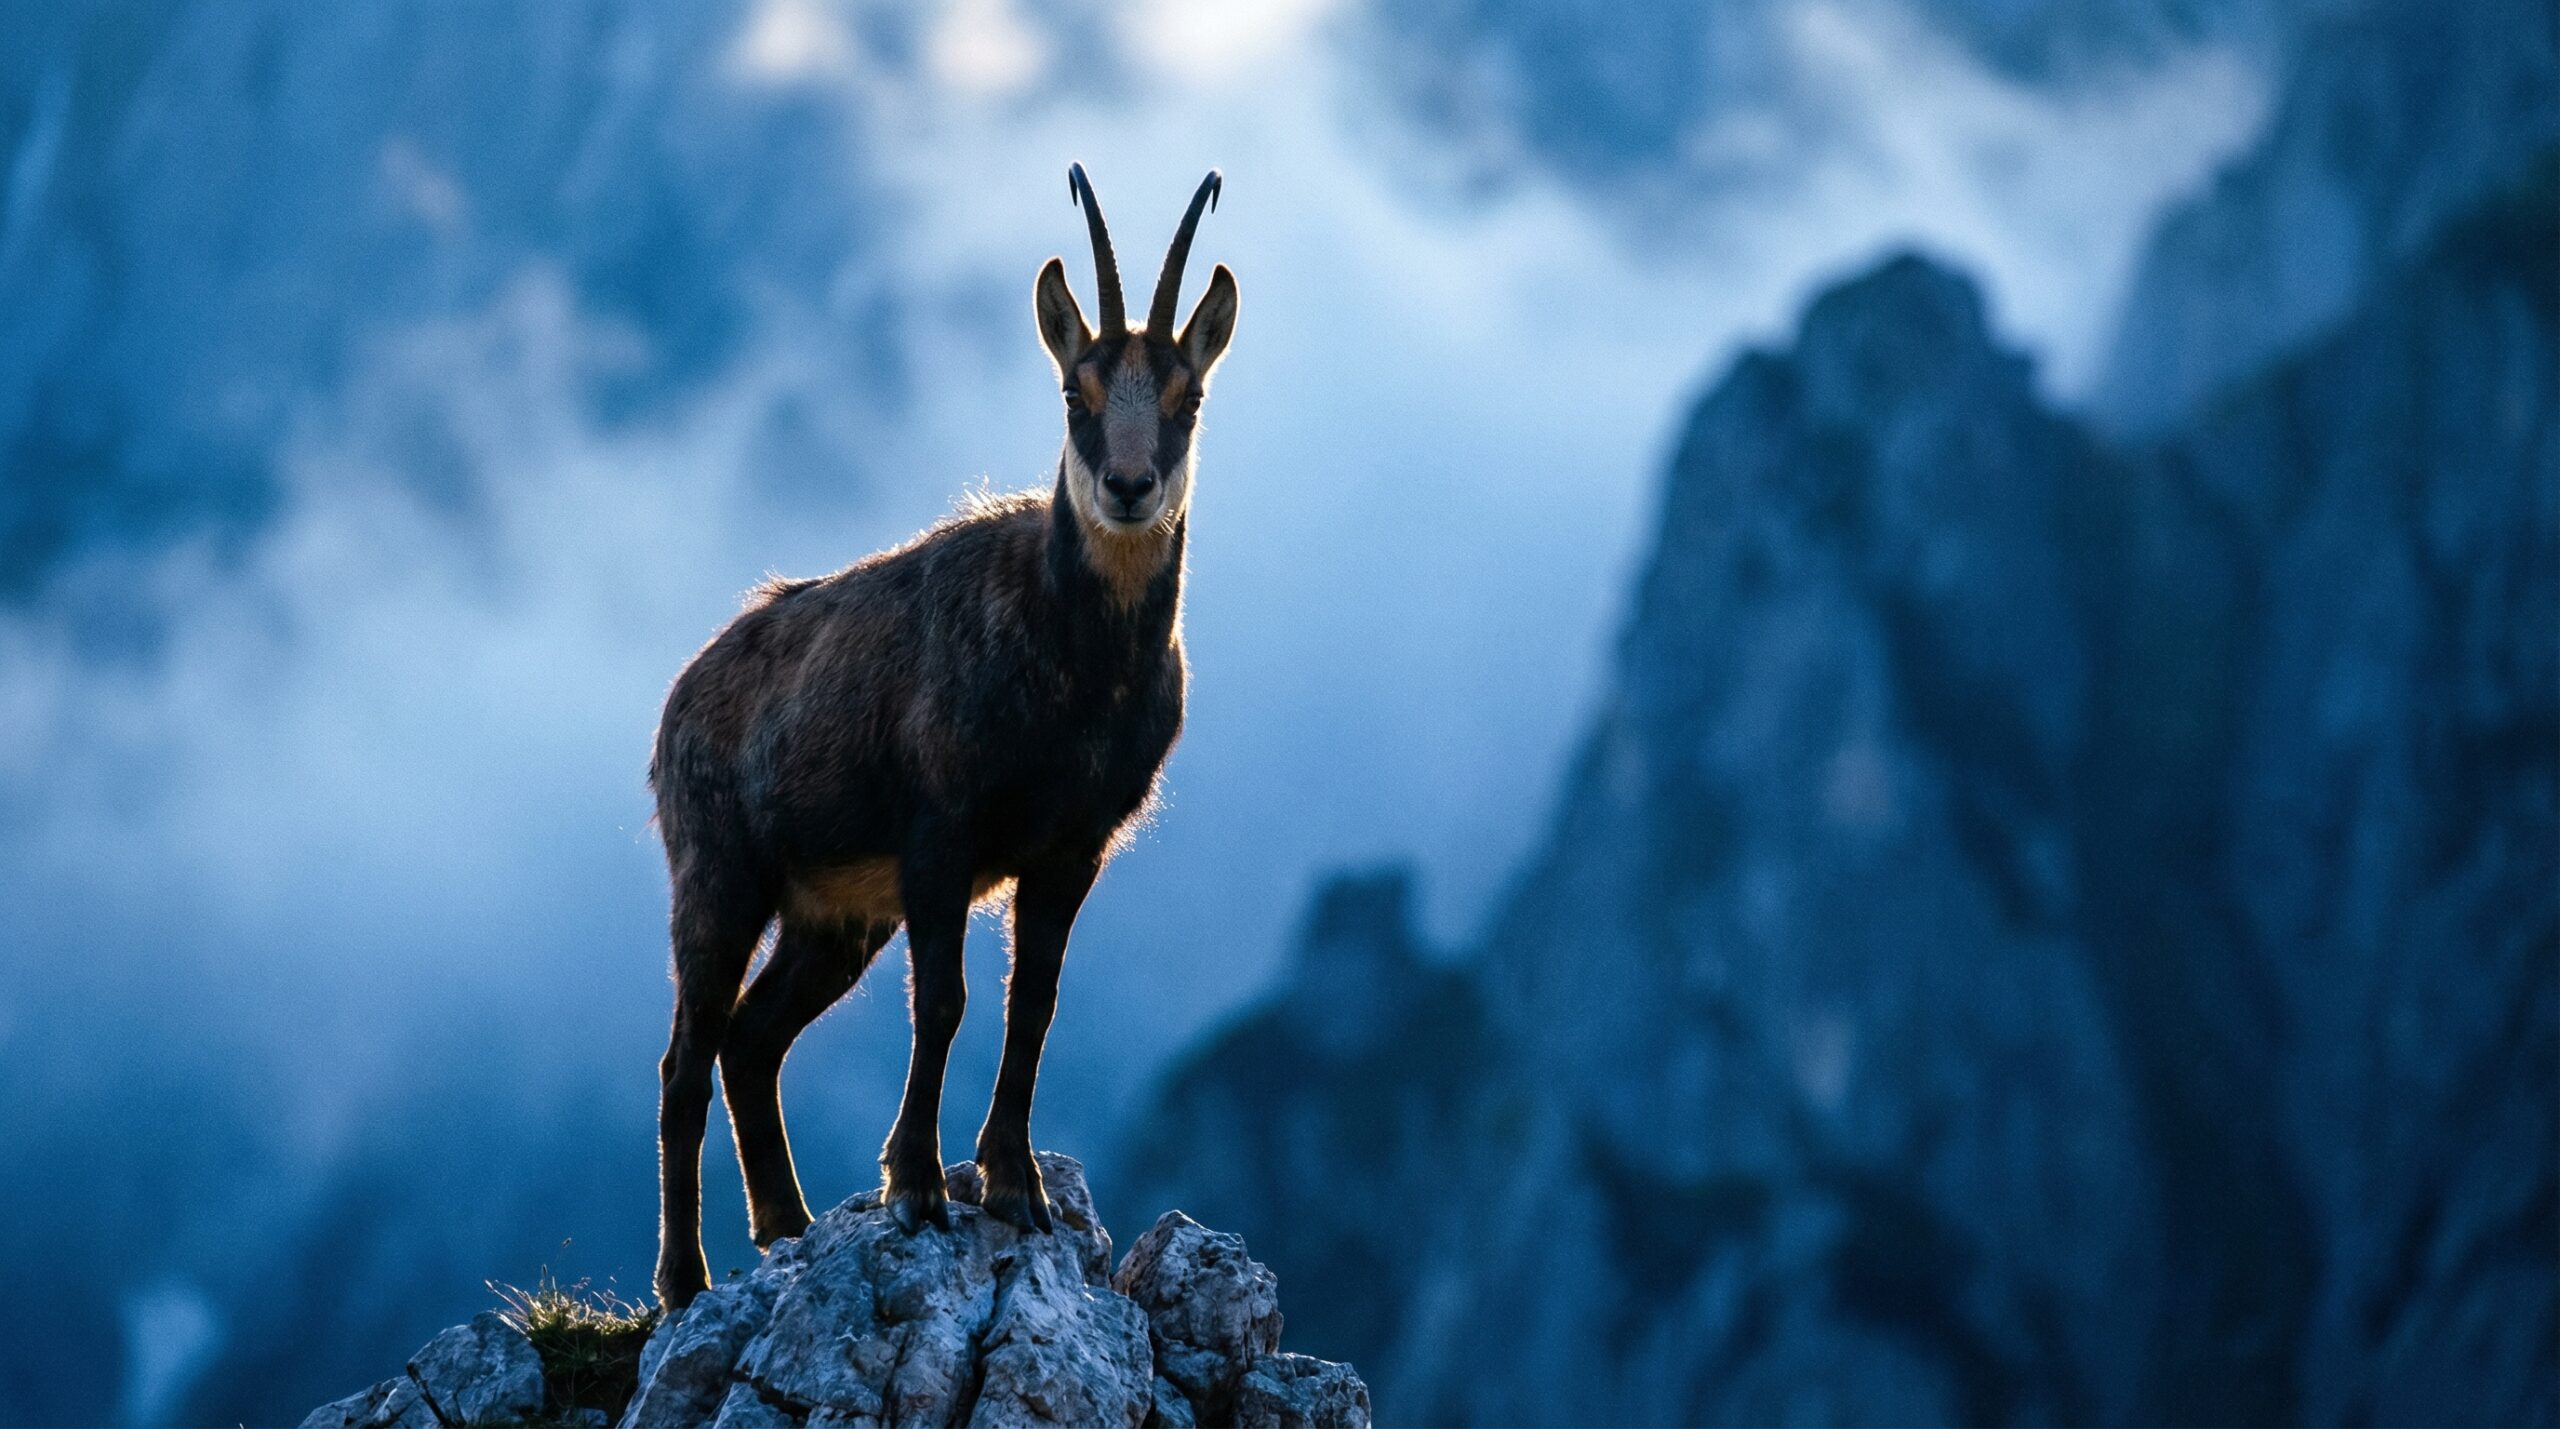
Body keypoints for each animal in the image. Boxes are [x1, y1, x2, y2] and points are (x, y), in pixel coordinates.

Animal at [646, 165, 1236, 1310]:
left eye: (1187, 398)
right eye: (1074, 395)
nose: (1128, 488)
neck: (1076, 675)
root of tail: (681, 694)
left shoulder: (1070, 848)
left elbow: (1033, 1001)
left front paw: (1013, 1183)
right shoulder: (940, 832)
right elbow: (947, 1001)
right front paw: (916, 1184)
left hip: (835, 914)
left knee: (752, 1036)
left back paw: (785, 1225)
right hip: (721, 871)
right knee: (687, 1055)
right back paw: (684, 1279)